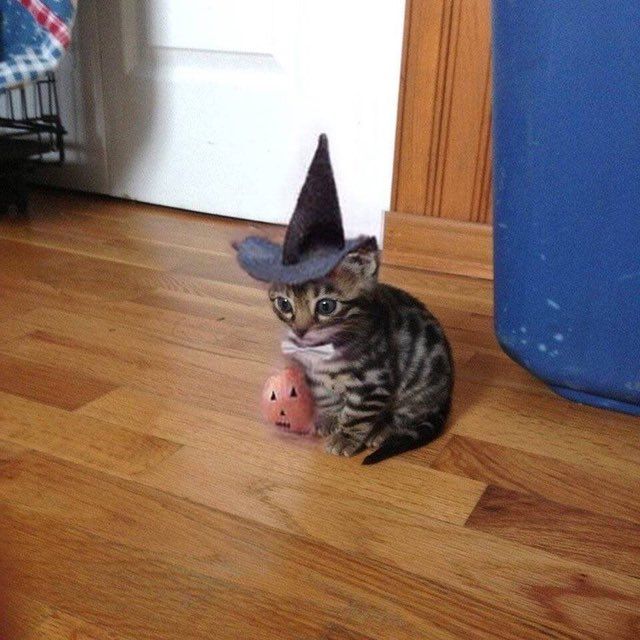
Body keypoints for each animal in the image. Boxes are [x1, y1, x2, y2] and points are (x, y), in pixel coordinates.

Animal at [268, 238, 452, 462]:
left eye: (326, 306)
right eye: (284, 304)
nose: (300, 331)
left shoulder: (372, 382)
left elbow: (357, 416)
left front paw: (345, 438)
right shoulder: (314, 375)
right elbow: (324, 396)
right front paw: (329, 417)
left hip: (417, 389)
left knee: (405, 418)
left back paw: (382, 430)